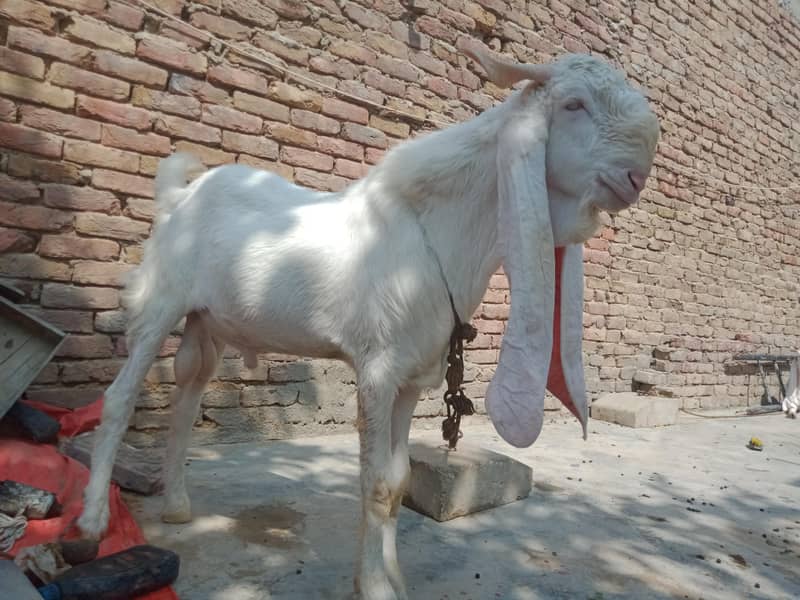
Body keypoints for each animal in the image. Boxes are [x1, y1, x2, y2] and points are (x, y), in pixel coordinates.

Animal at [77, 46, 660, 600]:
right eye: (574, 105)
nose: (634, 179)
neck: (431, 233)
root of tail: (180, 196)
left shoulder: (413, 377)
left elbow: (398, 482)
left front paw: (392, 577)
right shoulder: (378, 369)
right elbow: (376, 483)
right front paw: (376, 586)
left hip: (207, 322)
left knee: (186, 394)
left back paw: (176, 504)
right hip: (162, 299)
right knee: (120, 399)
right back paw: (91, 523)